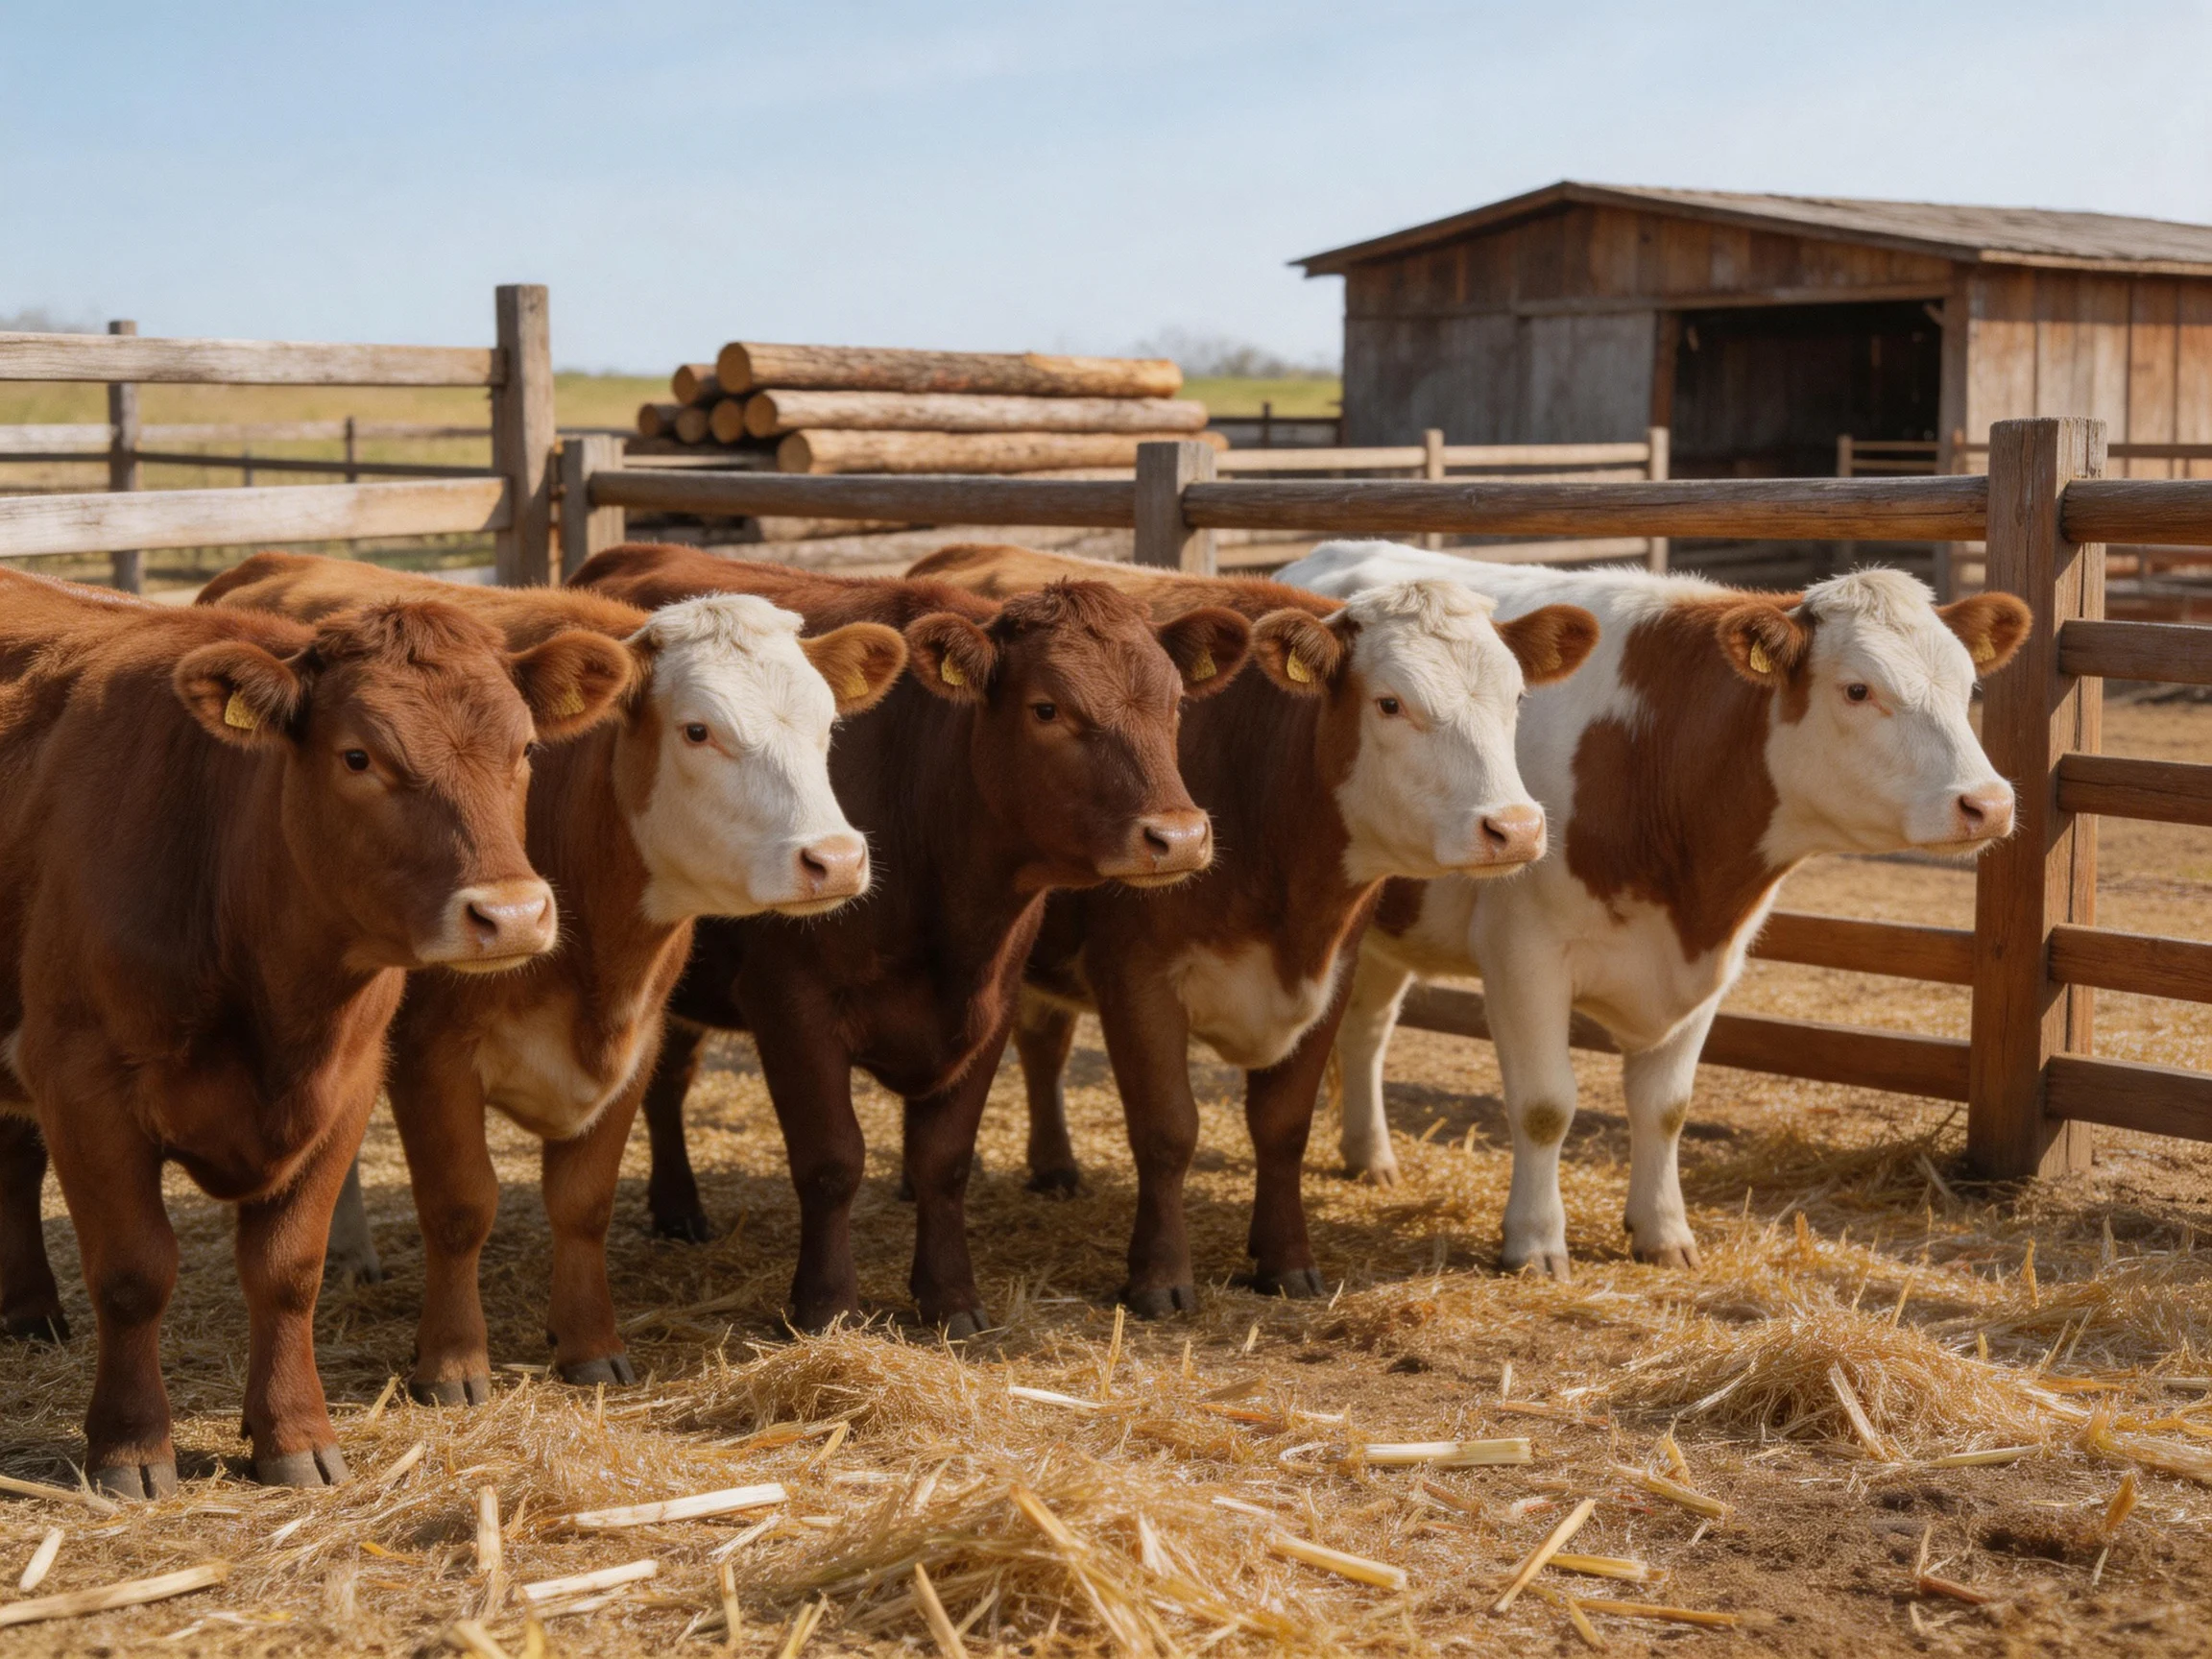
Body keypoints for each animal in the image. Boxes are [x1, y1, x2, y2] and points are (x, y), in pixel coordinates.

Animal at [0, 566, 630, 1497]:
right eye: (358, 756)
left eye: (523, 751)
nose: (511, 915)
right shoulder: (84, 1081)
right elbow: (132, 1272)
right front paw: (131, 1447)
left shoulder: (349, 1083)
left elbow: (289, 1271)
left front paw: (292, 1434)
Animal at [199, 551, 905, 1403]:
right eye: (698, 730)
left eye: (827, 725)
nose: (834, 858)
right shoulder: (432, 1052)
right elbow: (461, 1205)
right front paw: (453, 1363)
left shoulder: (638, 1040)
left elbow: (583, 1203)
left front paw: (589, 1344)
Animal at [571, 542, 1253, 1335]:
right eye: (1047, 708)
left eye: (1174, 704)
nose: (1178, 836)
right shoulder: (790, 1001)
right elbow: (831, 1161)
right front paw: (826, 1305)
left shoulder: (990, 1004)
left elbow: (944, 1161)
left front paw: (951, 1299)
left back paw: (679, 1208)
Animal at [907, 543, 1597, 1313]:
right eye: (1390, 703)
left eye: (1516, 699)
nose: (1514, 828)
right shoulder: (1136, 975)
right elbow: (1167, 1129)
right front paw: (1160, 1277)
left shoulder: (1333, 971)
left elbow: (1283, 1126)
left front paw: (1286, 1261)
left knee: (1042, 1040)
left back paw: (1054, 1167)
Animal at [1278, 542, 2030, 1277]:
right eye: (1857, 689)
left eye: (1969, 686)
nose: (1988, 803)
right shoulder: (1523, 955)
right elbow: (1545, 1106)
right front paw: (1535, 1242)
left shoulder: (1711, 959)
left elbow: (1666, 1108)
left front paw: (1663, 1231)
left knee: (1367, 1027)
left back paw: (1370, 1155)